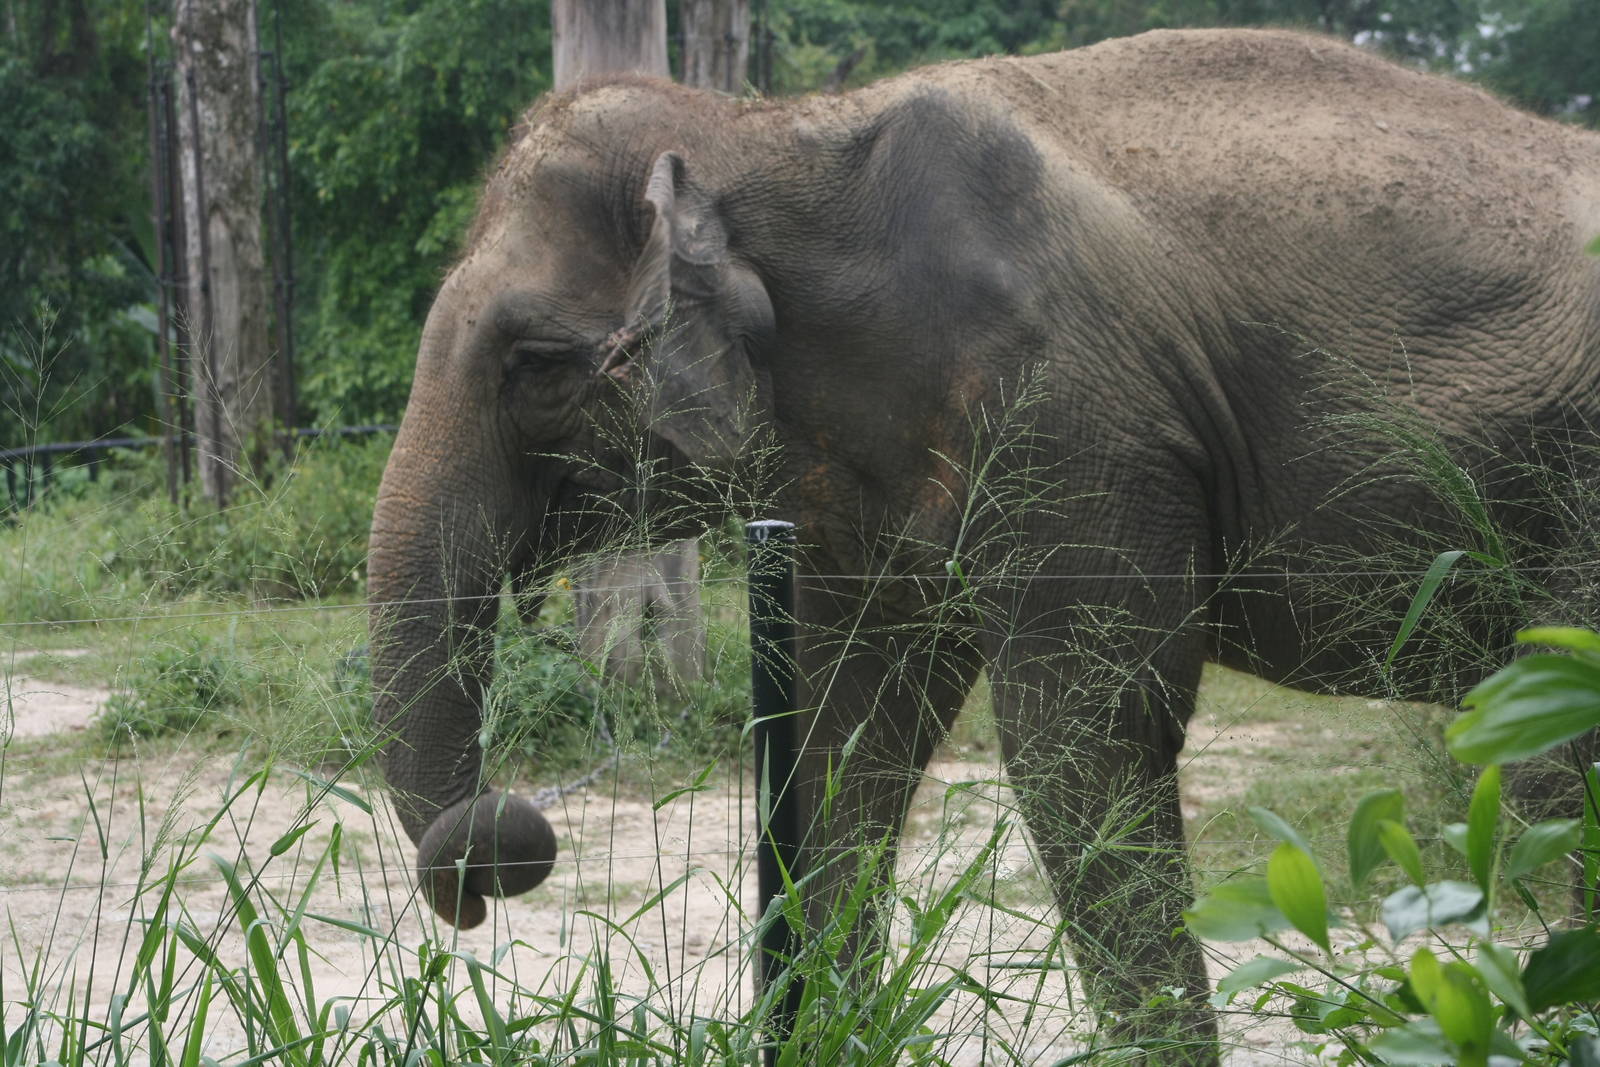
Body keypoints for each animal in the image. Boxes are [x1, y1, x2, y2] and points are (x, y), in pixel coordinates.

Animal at [368, 27, 1600, 1063]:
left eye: (533, 365)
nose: (503, 846)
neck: (776, 132)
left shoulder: (1071, 419)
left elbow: (1083, 734)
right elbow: (844, 732)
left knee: (1556, 759)